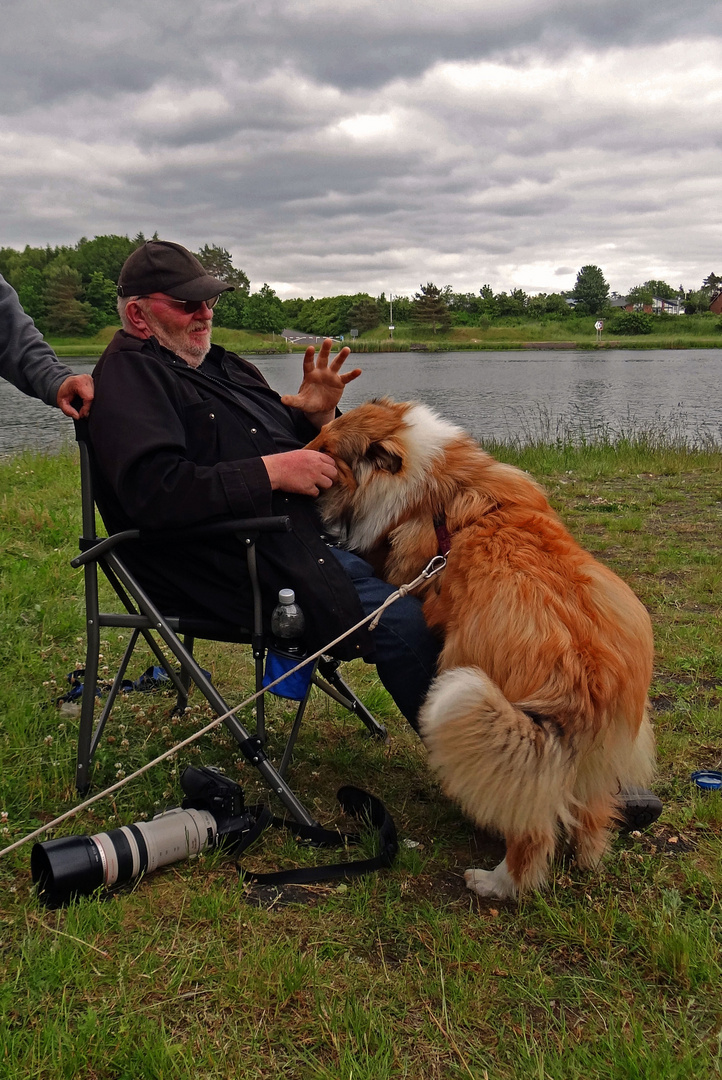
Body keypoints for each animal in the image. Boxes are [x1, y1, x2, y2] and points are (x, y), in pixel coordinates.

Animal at [306, 401, 656, 898]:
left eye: (326, 449)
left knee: (533, 835)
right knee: (589, 814)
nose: (299, 456)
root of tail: (585, 672)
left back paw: (495, 883)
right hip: (589, 756)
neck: (437, 485)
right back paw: (587, 857)